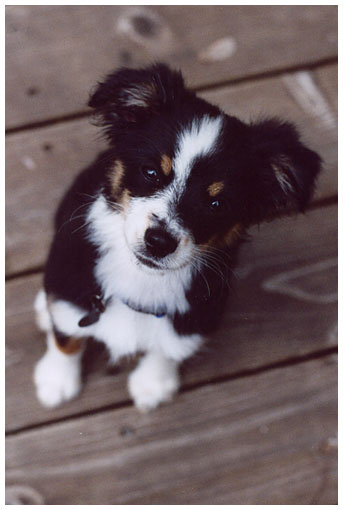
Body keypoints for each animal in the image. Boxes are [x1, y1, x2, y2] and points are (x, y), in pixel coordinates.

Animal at [33, 63, 322, 412]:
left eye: (216, 204)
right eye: (151, 172)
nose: (159, 242)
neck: (142, 279)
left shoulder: (197, 314)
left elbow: (168, 348)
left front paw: (153, 384)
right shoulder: (70, 287)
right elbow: (66, 337)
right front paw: (56, 381)